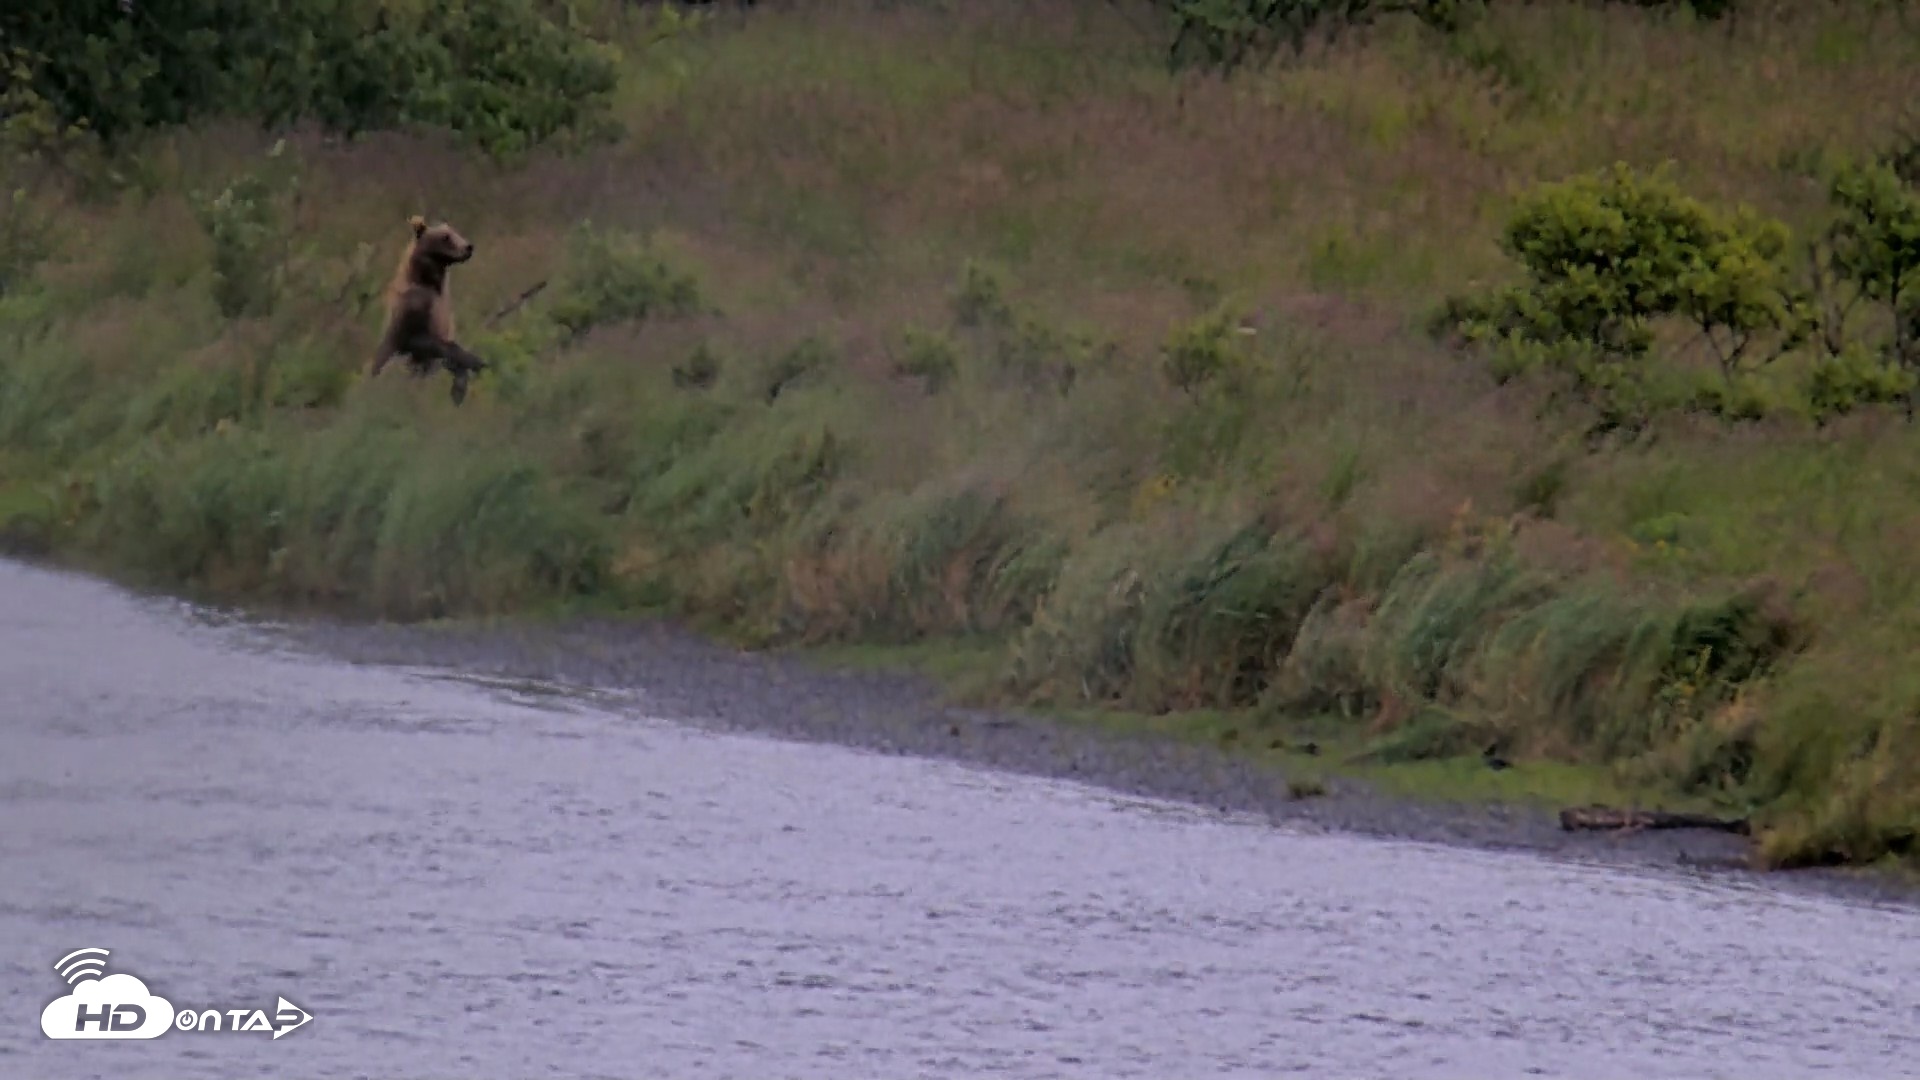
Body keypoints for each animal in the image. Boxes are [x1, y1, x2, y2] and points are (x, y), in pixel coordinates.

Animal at [370, 215, 489, 405]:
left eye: (455, 232)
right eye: (445, 237)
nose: (468, 247)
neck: (431, 282)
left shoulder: (443, 306)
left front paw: (459, 386)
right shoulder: (415, 306)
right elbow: (419, 341)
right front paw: (475, 361)